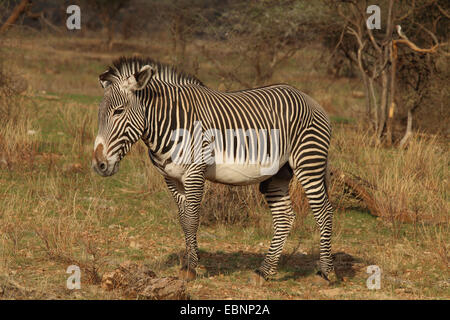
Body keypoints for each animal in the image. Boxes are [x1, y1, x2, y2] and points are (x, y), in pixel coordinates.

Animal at [91, 57, 334, 282]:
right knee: (284, 218)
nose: (98, 165)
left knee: (324, 212)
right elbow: (183, 220)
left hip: (309, 162)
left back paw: (325, 273)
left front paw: (191, 269)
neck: (169, 123)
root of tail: (308, 97)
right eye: (99, 113)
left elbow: (191, 218)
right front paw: (188, 264)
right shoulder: (172, 178)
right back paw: (263, 272)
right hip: (278, 174)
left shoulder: (194, 173)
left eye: (118, 111)